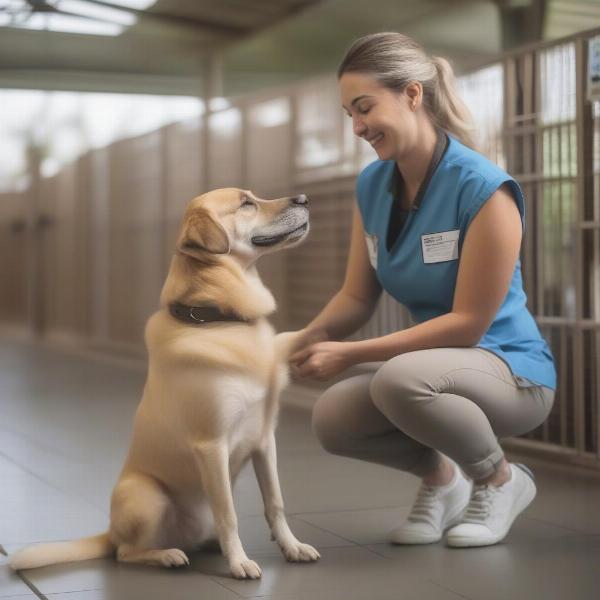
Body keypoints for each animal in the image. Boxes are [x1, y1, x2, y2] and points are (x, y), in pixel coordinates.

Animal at [9, 190, 318, 580]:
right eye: (246, 203)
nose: (304, 198)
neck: (219, 320)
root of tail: (109, 530)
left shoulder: (264, 440)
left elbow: (275, 502)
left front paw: (292, 547)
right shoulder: (211, 445)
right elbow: (229, 514)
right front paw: (239, 563)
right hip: (147, 497)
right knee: (126, 552)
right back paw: (167, 555)